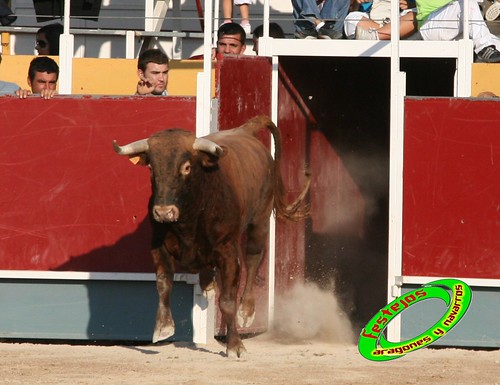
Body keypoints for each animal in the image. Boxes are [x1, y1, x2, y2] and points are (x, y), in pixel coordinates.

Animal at [113, 115, 308, 356]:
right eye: (151, 168)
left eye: (186, 167)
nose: (164, 212)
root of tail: (245, 130)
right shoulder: (158, 245)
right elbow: (163, 283)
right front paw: (163, 327)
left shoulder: (227, 250)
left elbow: (227, 300)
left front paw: (235, 345)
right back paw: (207, 283)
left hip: (259, 222)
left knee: (253, 259)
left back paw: (246, 311)